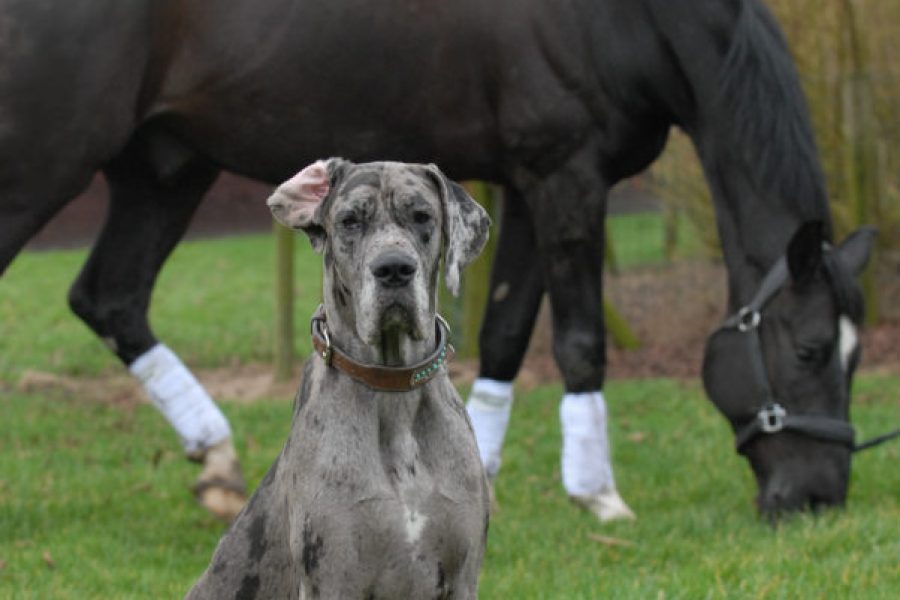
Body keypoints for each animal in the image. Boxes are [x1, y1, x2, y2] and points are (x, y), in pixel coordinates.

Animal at [0, 0, 872, 520]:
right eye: (808, 349)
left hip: (164, 170)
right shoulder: (566, 178)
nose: (820, 498)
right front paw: (600, 496)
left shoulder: (525, 187)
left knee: (109, 296)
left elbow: (509, 331)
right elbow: (580, 341)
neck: (623, 17)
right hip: (44, 163)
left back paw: (216, 459)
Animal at [185, 161, 492, 600]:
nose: (394, 268)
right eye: (350, 221)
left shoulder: (464, 577)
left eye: (422, 216)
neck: (392, 390)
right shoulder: (331, 577)